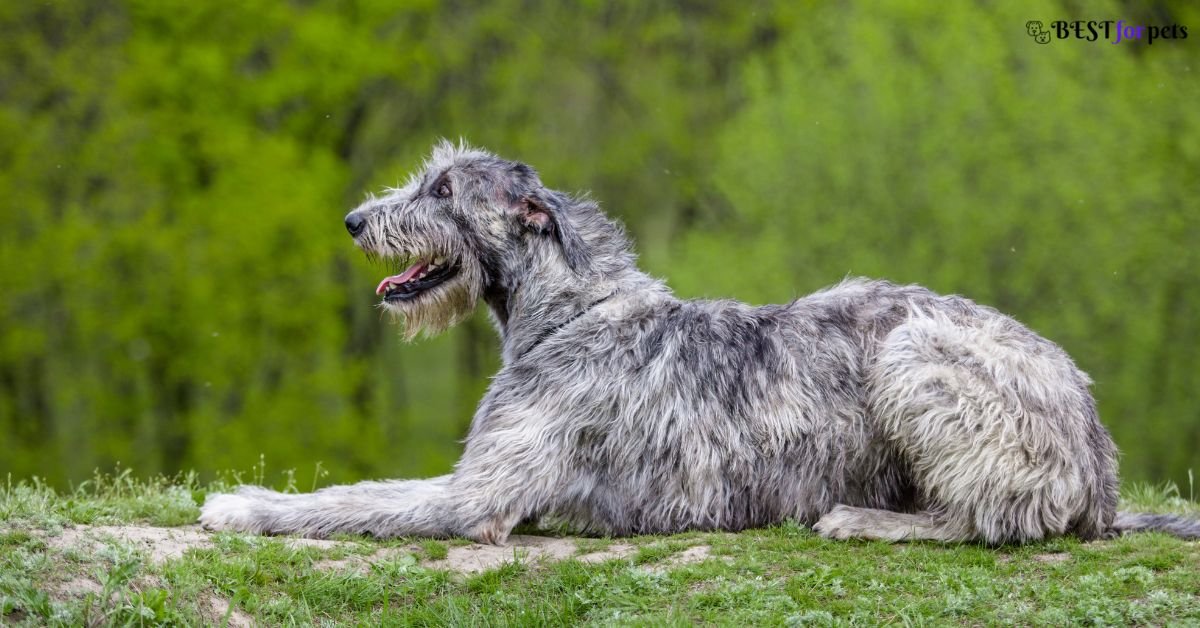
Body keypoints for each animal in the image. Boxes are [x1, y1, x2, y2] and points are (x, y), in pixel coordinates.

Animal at [201, 141, 1200, 545]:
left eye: (444, 190)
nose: (355, 220)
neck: (575, 310)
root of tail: (1102, 463)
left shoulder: (475, 498)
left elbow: (349, 501)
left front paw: (242, 505)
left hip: (916, 356)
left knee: (994, 519)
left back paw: (868, 520)